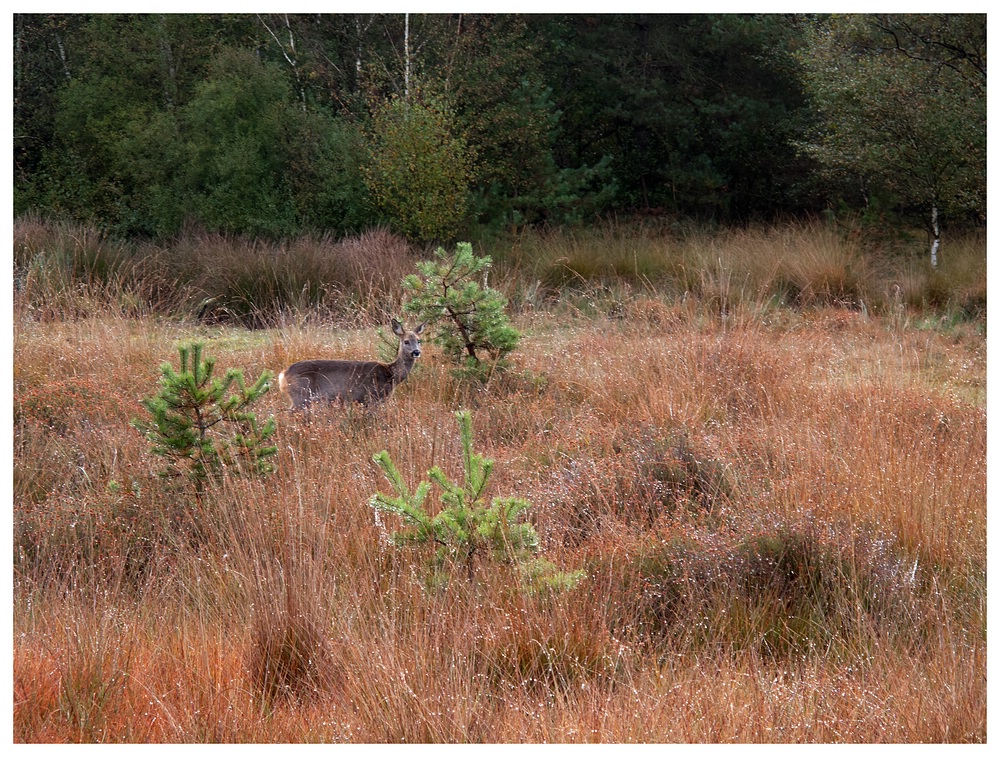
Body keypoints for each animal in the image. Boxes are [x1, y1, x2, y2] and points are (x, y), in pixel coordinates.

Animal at [278, 320, 426, 414]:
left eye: (419, 341)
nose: (416, 352)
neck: (390, 374)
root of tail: (283, 374)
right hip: (300, 395)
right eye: (406, 341)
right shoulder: (372, 397)